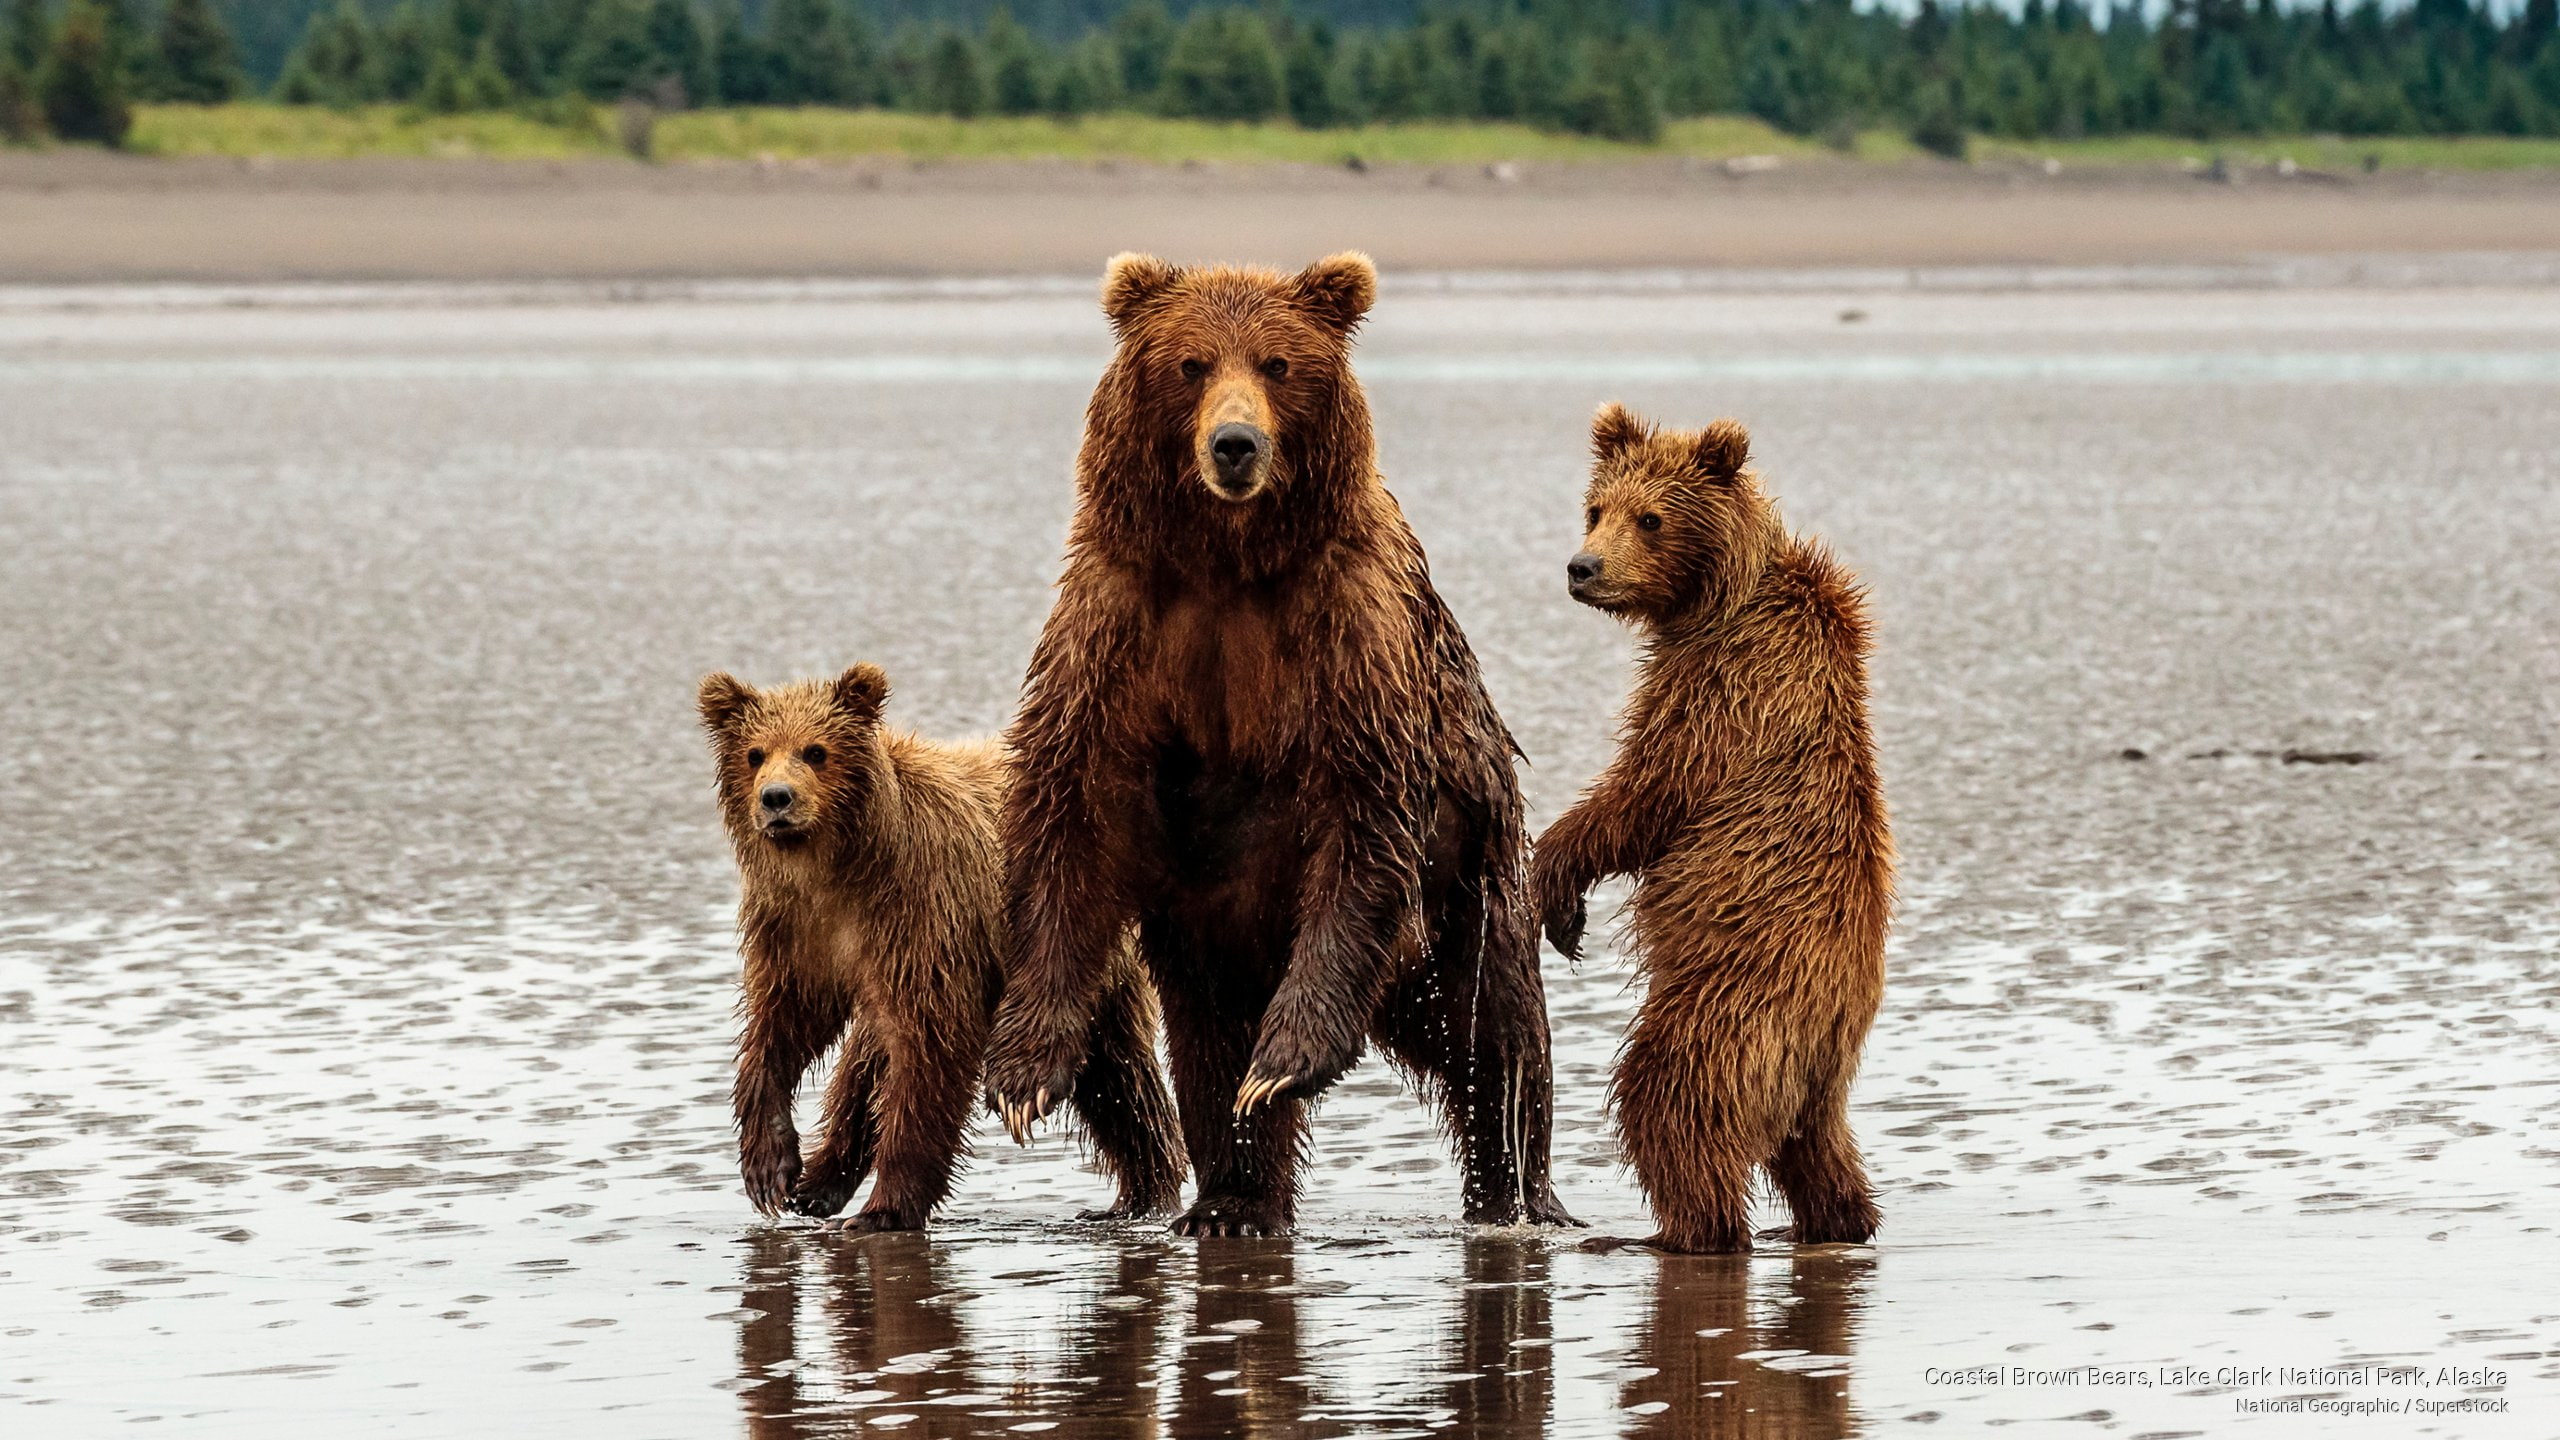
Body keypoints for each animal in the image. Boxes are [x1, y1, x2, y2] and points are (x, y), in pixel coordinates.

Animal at [699, 663, 1185, 1231]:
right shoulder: (795, 926)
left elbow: (931, 1050)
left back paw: (1143, 1195)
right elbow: (783, 1023)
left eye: (815, 751)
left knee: (1116, 1070)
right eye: (754, 753)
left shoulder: (922, 912)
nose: (776, 798)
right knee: (866, 1065)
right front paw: (770, 1168)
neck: (835, 868)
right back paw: (817, 1187)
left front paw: (884, 1209)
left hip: (1081, 959)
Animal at [978, 251, 1576, 1238]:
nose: (1235, 445)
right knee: (1207, 1045)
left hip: (1472, 888)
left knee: (1493, 1042)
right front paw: (1024, 1078)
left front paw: (1285, 1059)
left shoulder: (1349, 640)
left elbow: (1365, 824)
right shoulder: (1119, 627)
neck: (1228, 564)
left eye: (1277, 364)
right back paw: (1233, 1199)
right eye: (1190, 364)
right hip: (1212, 936)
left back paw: (1518, 1194)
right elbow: (1073, 812)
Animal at [1531, 404, 1892, 1255]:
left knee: (1670, 1101)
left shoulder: (1727, 682)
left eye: (1651, 518)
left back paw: (1677, 1233)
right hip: (1816, 1074)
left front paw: (1554, 883)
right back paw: (1836, 1222)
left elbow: (1651, 790)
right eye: (1594, 508)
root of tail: (1830, 1024)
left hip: (1729, 1004)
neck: (1716, 595)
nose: (1583, 568)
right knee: (1819, 1150)